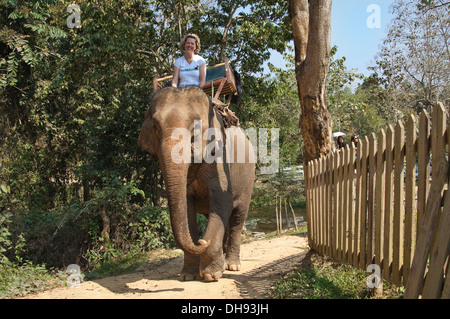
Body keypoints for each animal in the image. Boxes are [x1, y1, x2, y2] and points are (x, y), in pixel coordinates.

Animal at [137, 86, 255, 282]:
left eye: (195, 128)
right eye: (155, 127)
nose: (202, 241)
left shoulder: (220, 160)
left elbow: (222, 201)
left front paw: (211, 275)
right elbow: (187, 209)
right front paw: (187, 276)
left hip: (248, 179)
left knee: (237, 217)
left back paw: (232, 265)